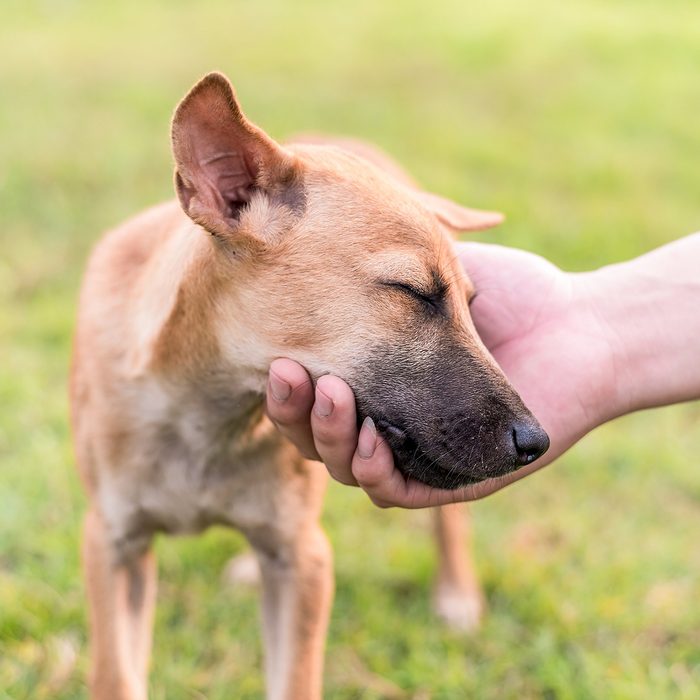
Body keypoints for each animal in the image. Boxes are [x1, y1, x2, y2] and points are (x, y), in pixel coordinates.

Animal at [71, 72, 548, 700]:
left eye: (472, 305)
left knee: (449, 518)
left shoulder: (305, 563)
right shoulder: (112, 544)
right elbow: (115, 676)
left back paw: (456, 594)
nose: (536, 442)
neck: (208, 415)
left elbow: (294, 680)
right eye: (413, 291)